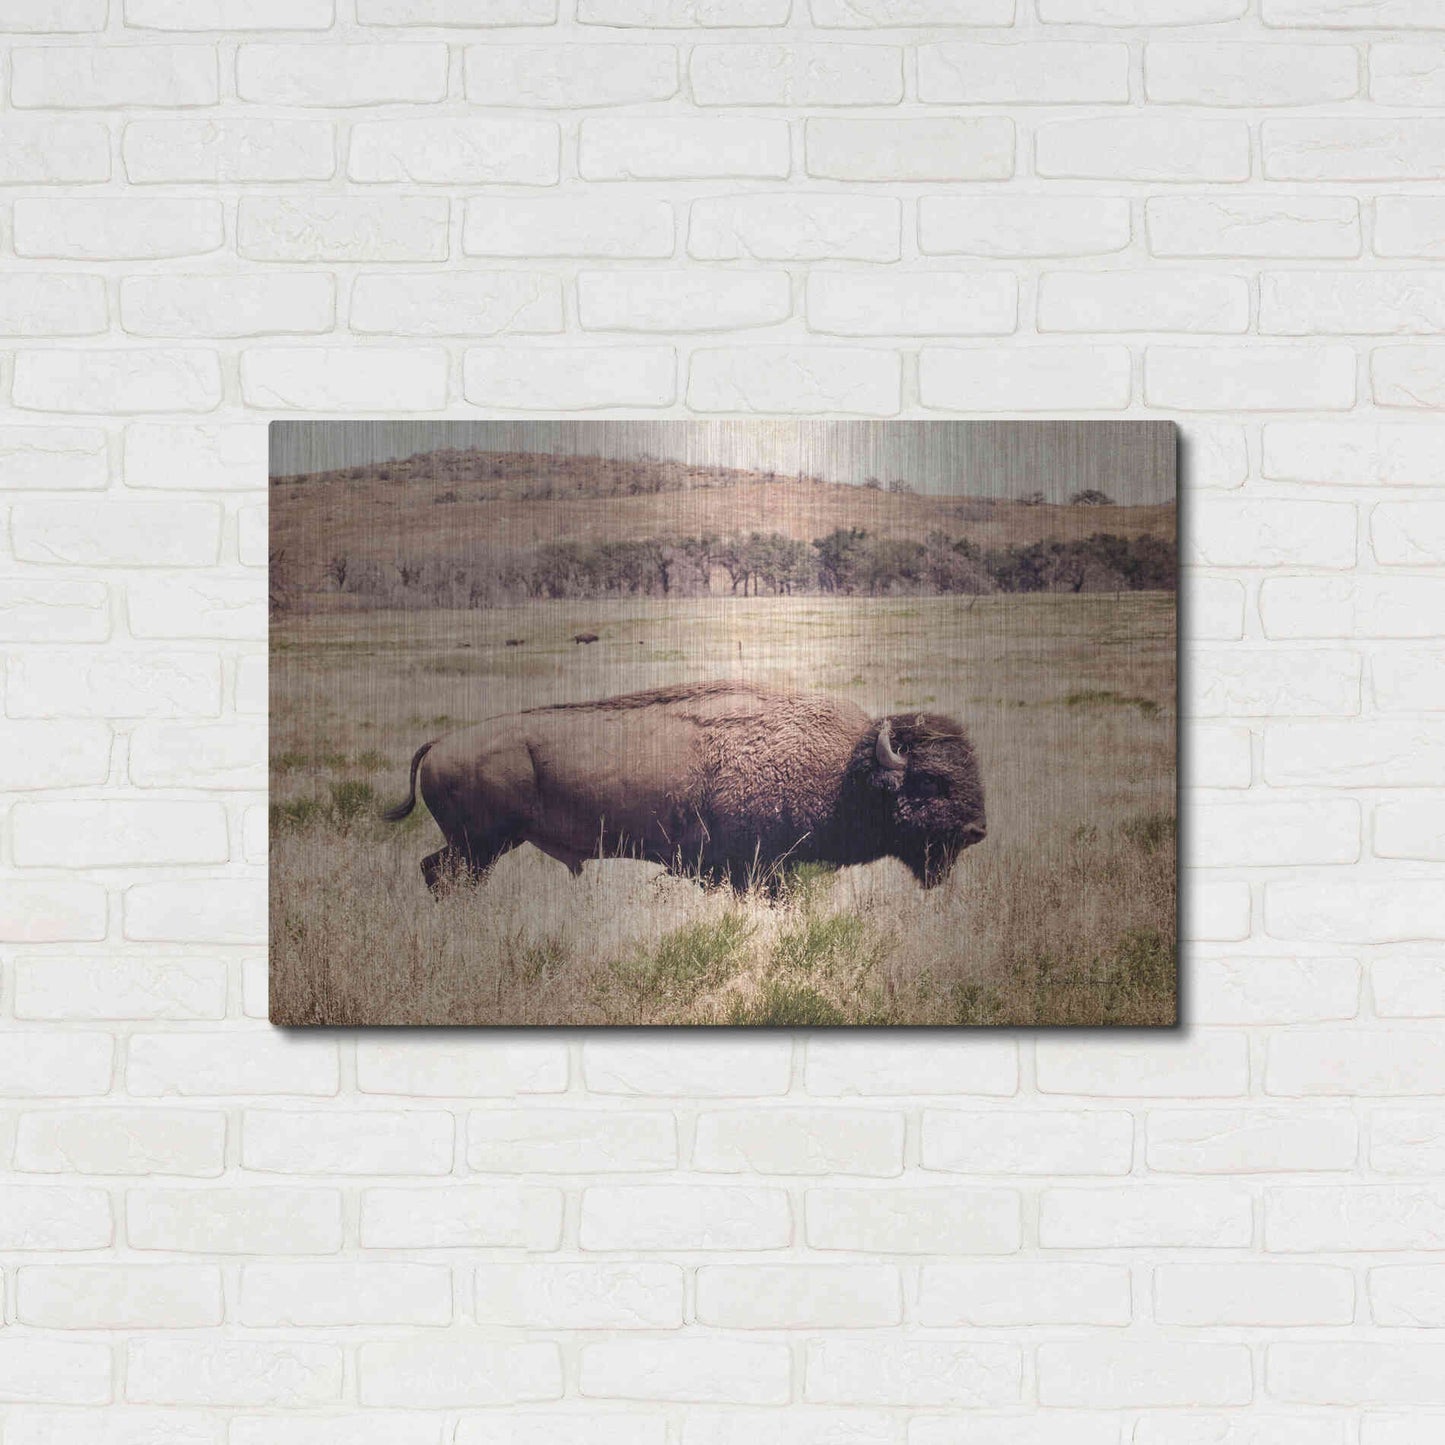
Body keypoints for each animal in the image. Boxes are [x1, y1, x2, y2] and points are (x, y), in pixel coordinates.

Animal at [384, 680, 985, 896]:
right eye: (931, 781)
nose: (977, 830)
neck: (843, 771)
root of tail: (440, 742)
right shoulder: (752, 869)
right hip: (481, 846)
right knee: (443, 874)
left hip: (479, 846)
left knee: (434, 870)